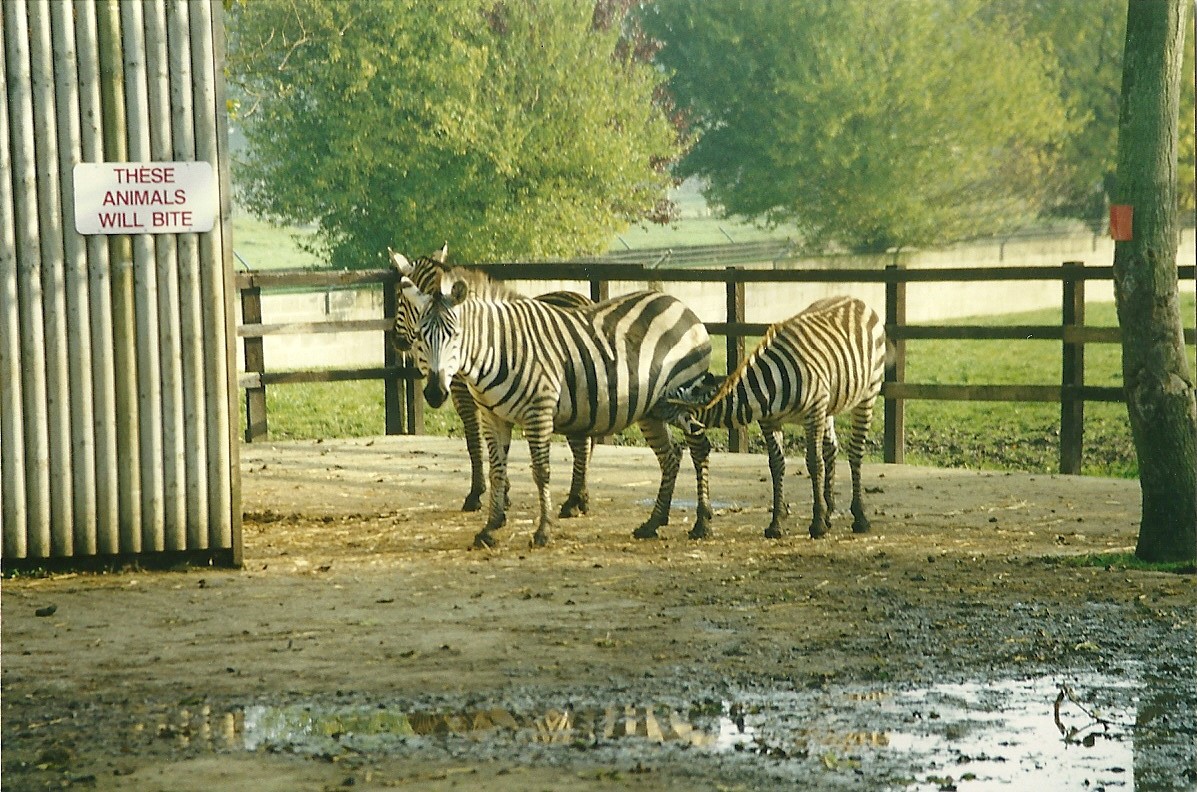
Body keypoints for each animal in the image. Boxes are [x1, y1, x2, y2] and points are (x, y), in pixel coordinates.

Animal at [390, 248, 594, 516]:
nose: (396, 340)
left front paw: (477, 494)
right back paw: (581, 498)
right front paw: (503, 493)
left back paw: (573, 501)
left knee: (581, 443)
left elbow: (474, 441)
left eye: (399, 298)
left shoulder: (463, 393)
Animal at [398, 271, 714, 548]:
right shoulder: (493, 417)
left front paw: (543, 531)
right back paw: (653, 523)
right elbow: (497, 471)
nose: (435, 392)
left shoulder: (538, 411)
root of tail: (678, 303)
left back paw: (702, 523)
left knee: (699, 447)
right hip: (654, 408)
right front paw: (490, 528)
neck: (500, 348)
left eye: (455, 335)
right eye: (420, 337)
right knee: (670, 455)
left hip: (686, 395)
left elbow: (541, 472)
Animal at [662, 296, 887, 539]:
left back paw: (860, 517)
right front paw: (776, 523)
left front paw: (817, 524)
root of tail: (857, 300)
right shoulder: (771, 421)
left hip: (867, 393)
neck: (769, 386)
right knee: (831, 449)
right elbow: (776, 464)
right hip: (829, 404)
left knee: (855, 452)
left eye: (659, 403)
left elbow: (813, 463)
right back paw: (830, 513)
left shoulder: (813, 412)